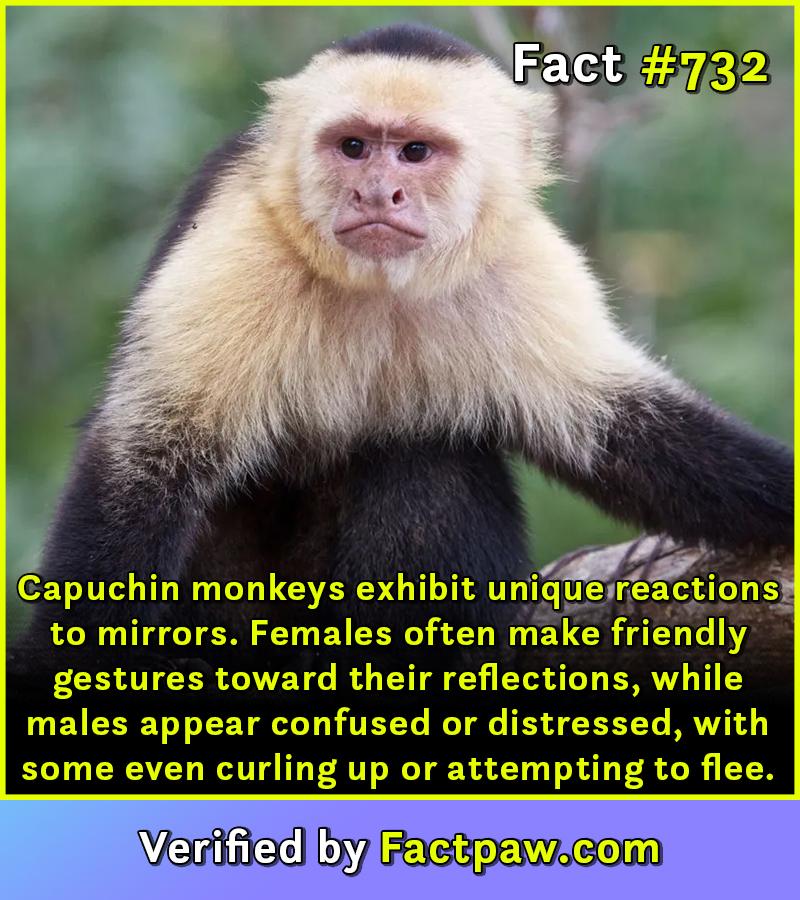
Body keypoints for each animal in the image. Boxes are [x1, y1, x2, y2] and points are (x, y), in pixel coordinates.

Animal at [13, 23, 793, 676]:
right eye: (353, 146)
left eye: (415, 152)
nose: (376, 193)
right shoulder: (243, 246)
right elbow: (144, 463)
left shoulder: (517, 258)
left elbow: (623, 431)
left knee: (425, 450)